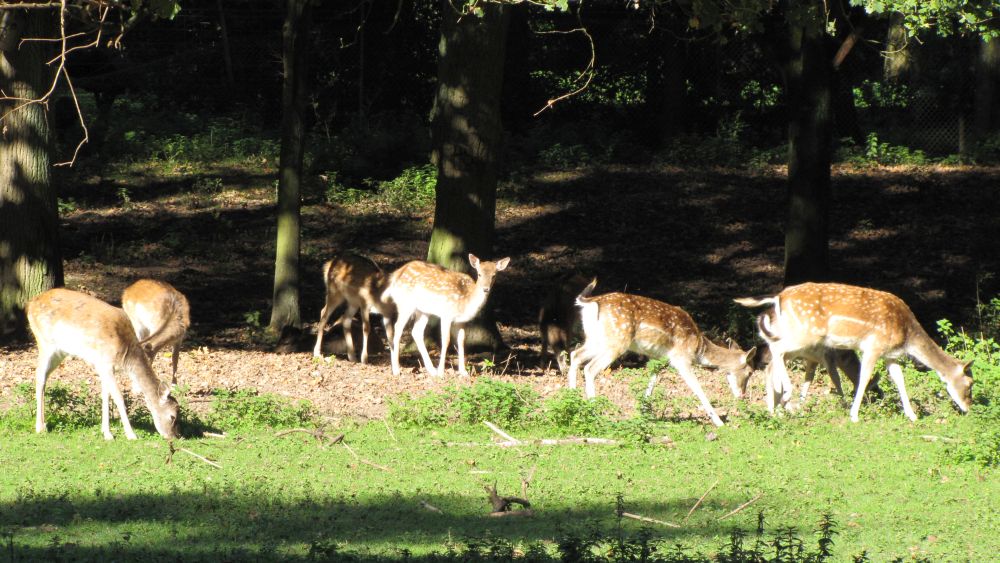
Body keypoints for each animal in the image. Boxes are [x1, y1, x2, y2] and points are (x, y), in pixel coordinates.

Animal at [26, 290, 180, 440]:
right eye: (172, 416)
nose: (174, 437)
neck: (125, 355)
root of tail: (30, 304)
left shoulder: (103, 367)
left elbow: (106, 395)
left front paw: (107, 433)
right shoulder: (105, 363)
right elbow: (118, 397)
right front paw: (131, 435)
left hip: (60, 352)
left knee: (44, 376)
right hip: (45, 342)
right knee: (39, 375)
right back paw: (40, 427)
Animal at [380, 256, 512, 378]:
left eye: (494, 275)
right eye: (479, 274)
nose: (485, 289)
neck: (465, 302)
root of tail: (395, 275)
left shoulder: (461, 321)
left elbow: (461, 341)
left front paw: (463, 372)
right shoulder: (446, 315)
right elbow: (446, 340)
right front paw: (441, 372)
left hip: (423, 310)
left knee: (416, 331)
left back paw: (431, 370)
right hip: (406, 304)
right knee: (397, 327)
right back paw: (396, 370)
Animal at [568, 282, 752, 428]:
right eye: (750, 372)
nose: (743, 396)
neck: (698, 348)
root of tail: (592, 302)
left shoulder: (658, 358)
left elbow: (653, 379)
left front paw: (644, 413)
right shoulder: (681, 358)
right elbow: (697, 388)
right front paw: (719, 422)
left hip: (596, 339)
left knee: (575, 354)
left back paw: (572, 402)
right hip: (617, 340)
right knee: (590, 368)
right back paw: (594, 413)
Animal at [732, 282, 972, 424]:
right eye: (970, 384)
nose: (968, 407)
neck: (907, 333)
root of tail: (778, 297)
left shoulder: (890, 355)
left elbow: (899, 380)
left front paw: (912, 415)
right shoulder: (873, 347)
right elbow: (863, 377)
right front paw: (853, 414)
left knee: (774, 357)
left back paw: (778, 407)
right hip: (804, 334)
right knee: (776, 349)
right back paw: (786, 397)